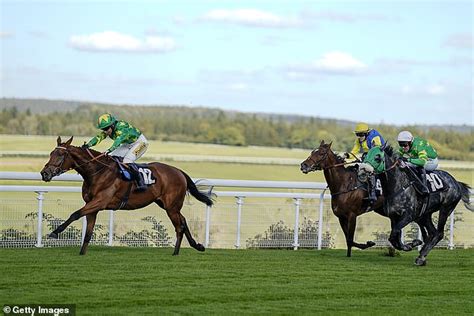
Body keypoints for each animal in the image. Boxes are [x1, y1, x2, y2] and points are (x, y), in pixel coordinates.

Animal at [39, 136, 214, 254]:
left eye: (61, 156)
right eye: (50, 154)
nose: (44, 173)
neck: (97, 172)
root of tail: (179, 171)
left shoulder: (100, 202)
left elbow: (75, 214)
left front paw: (55, 232)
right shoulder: (92, 206)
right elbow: (88, 232)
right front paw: (82, 253)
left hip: (172, 206)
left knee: (179, 226)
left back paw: (176, 252)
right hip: (167, 205)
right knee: (183, 221)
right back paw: (197, 246)